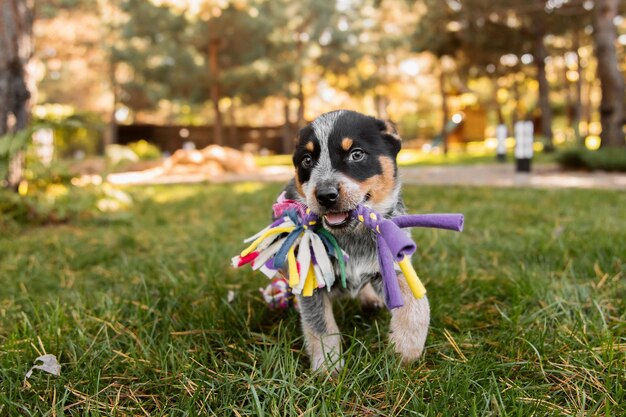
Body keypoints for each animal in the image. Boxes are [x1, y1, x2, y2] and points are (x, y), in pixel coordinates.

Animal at [282, 109, 428, 372]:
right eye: (307, 160)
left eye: (356, 154)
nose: (325, 195)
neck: (351, 237)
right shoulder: (312, 276)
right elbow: (320, 325)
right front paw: (328, 367)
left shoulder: (391, 263)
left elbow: (417, 302)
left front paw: (405, 349)